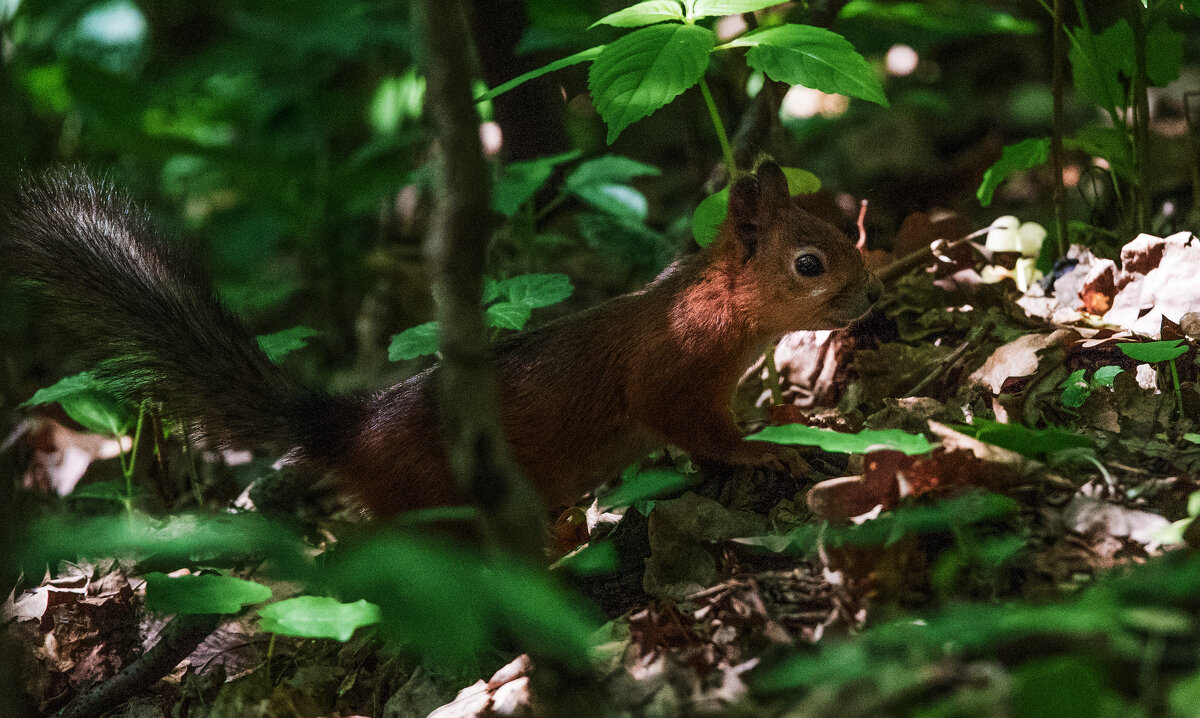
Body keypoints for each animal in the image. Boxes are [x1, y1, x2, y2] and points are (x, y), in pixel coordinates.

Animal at [2, 160, 883, 518]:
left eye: (844, 229)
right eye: (809, 263)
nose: (871, 295)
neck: (714, 306)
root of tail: (349, 432)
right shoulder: (670, 370)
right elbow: (694, 428)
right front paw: (763, 449)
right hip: (437, 497)